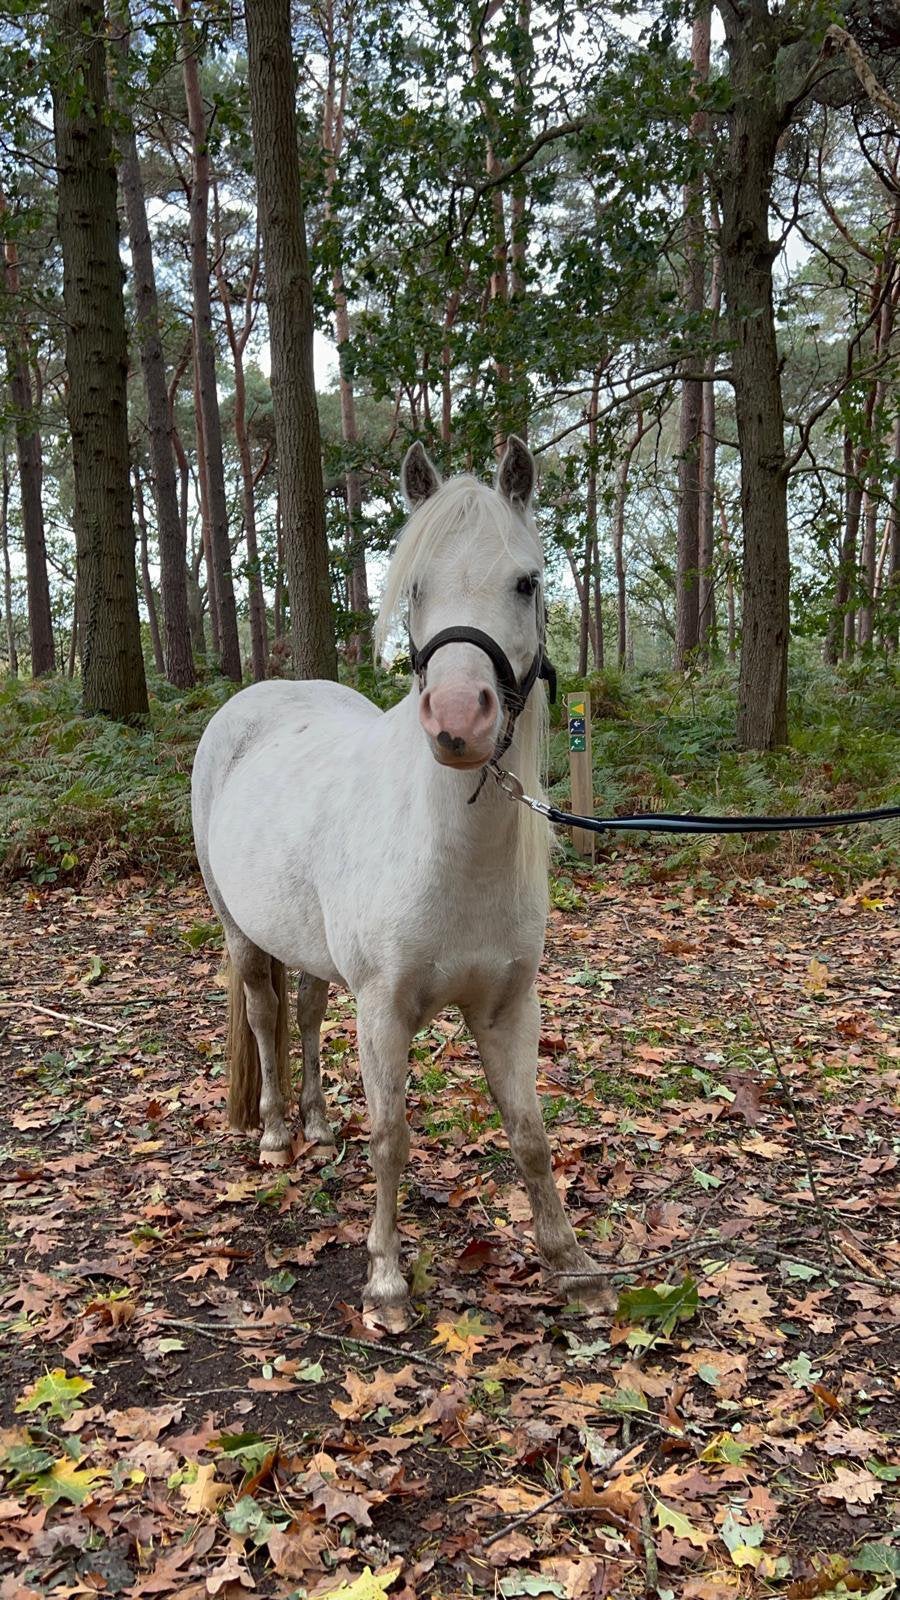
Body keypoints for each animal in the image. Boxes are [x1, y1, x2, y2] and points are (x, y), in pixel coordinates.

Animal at [191, 436, 601, 1327]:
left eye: (527, 581)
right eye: (414, 586)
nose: (457, 721)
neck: (449, 852)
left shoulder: (509, 1008)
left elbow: (530, 1134)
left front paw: (571, 1266)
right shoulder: (384, 1012)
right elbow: (392, 1139)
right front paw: (385, 1280)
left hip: (308, 947)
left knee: (308, 1013)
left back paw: (315, 1125)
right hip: (239, 933)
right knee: (267, 1016)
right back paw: (275, 1133)